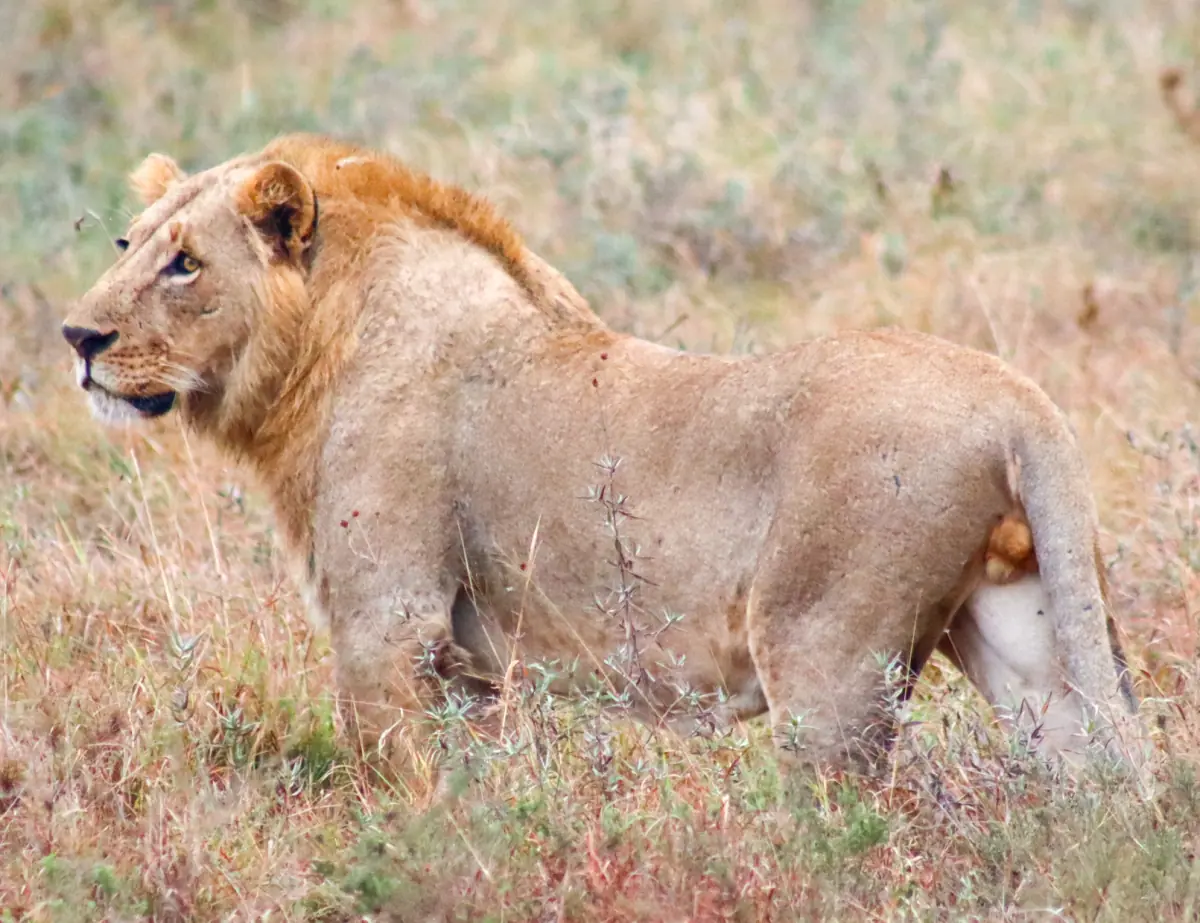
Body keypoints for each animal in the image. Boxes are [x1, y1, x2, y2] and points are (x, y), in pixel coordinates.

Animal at [61, 134, 1150, 778]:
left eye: (185, 263)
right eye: (127, 241)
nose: (77, 336)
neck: (321, 348)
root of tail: (1021, 398)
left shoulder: (388, 625)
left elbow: (396, 789)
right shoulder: (467, 665)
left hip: (827, 661)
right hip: (1028, 641)